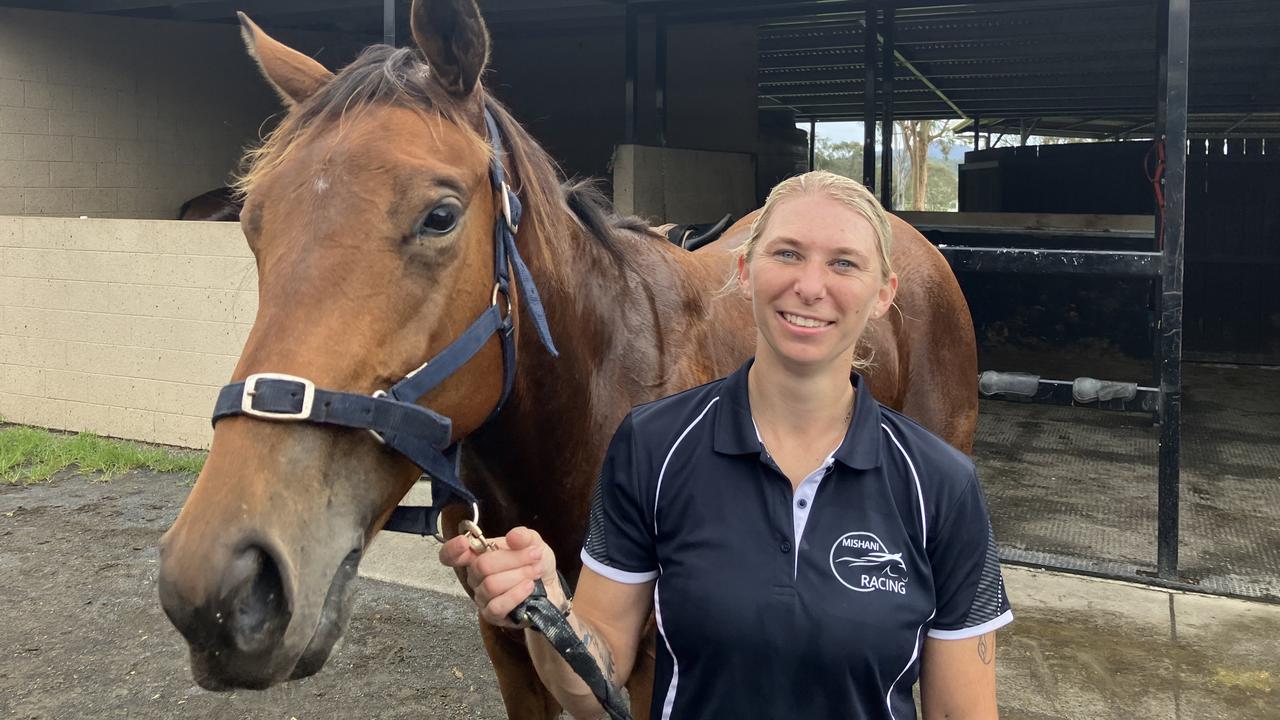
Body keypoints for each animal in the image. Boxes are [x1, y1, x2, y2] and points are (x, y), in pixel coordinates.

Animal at [154, 2, 972, 712]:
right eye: (252, 223)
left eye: (441, 215)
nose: (220, 588)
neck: (588, 407)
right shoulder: (516, 643)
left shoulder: (650, 665)